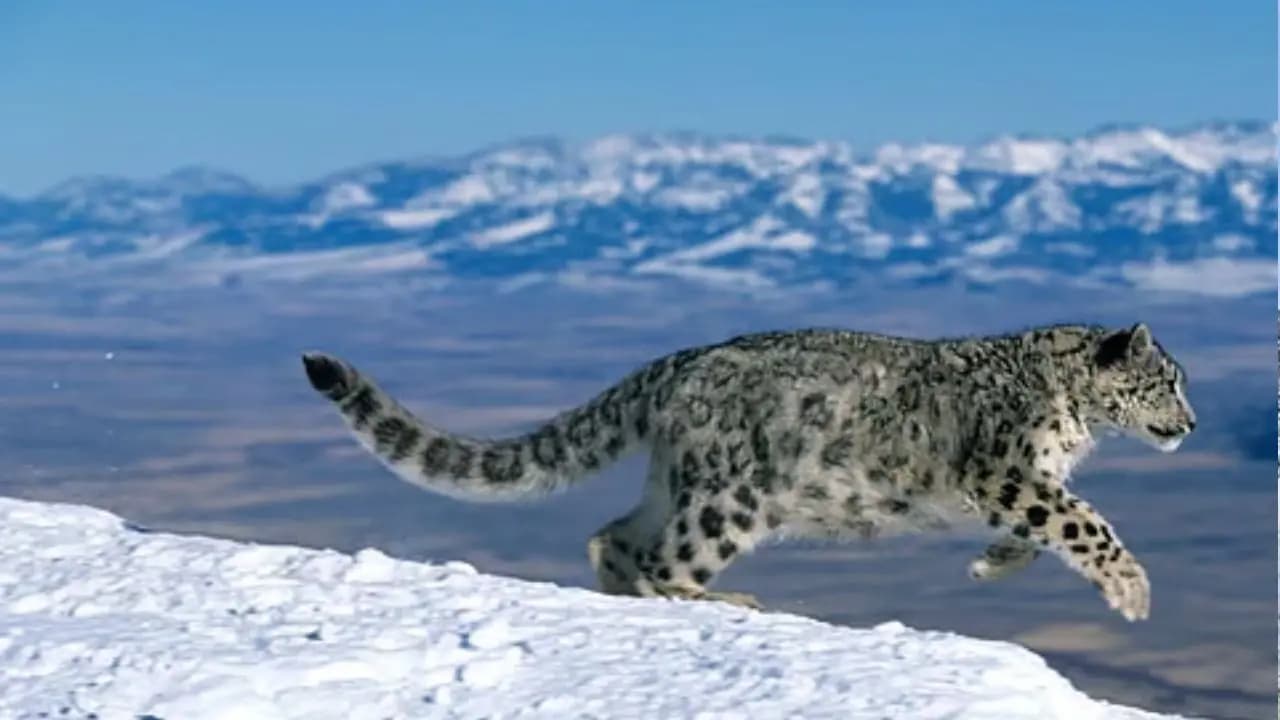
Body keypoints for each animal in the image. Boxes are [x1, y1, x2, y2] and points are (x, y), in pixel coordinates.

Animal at [300, 321, 1195, 621]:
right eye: (1168, 380)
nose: (1189, 425)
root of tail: (679, 363)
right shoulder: (1010, 471)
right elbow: (1085, 520)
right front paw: (1133, 591)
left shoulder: (1013, 488)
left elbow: (1040, 529)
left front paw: (990, 563)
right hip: (733, 496)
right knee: (670, 557)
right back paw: (724, 599)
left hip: (678, 481)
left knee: (613, 536)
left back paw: (626, 592)